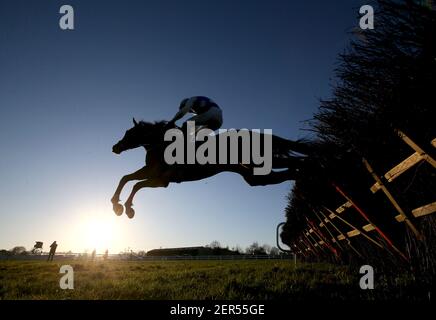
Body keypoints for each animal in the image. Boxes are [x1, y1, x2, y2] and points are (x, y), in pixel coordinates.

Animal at [112, 119, 310, 219]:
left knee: (295, 163)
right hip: (253, 175)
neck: (162, 146)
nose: (115, 147)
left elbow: (136, 185)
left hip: (263, 163)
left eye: (130, 133)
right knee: (288, 171)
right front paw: (116, 204)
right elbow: (125, 178)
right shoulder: (150, 172)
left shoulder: (161, 181)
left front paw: (127, 209)